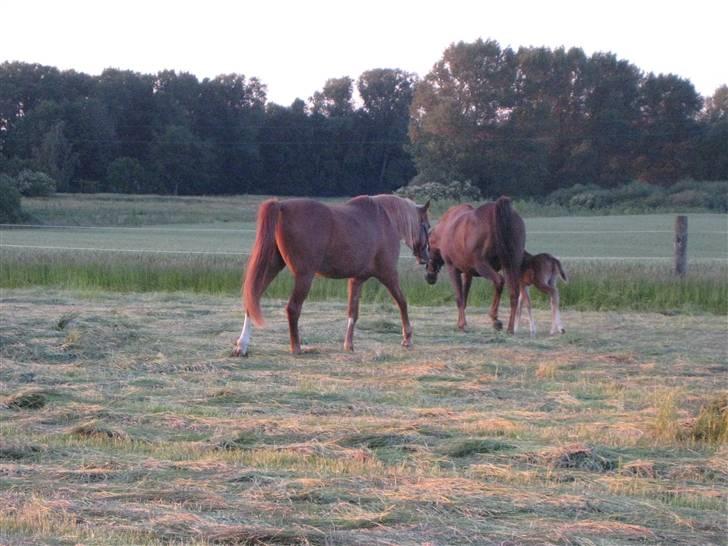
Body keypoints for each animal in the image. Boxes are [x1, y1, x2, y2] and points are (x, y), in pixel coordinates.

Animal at [233, 193, 430, 354]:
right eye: (427, 226)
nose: (426, 258)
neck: (384, 219)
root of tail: (281, 206)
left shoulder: (357, 280)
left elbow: (353, 312)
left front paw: (348, 345)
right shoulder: (388, 274)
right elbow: (402, 302)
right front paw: (407, 338)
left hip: (272, 266)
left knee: (253, 298)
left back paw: (242, 345)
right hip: (304, 276)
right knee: (292, 308)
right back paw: (296, 347)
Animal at [424, 196, 528, 332]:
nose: (429, 277)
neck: (444, 230)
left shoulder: (453, 269)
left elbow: (459, 297)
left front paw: (461, 324)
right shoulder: (468, 273)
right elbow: (464, 297)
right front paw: (461, 322)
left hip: (482, 266)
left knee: (499, 281)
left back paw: (495, 318)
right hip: (511, 265)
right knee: (514, 292)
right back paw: (510, 328)